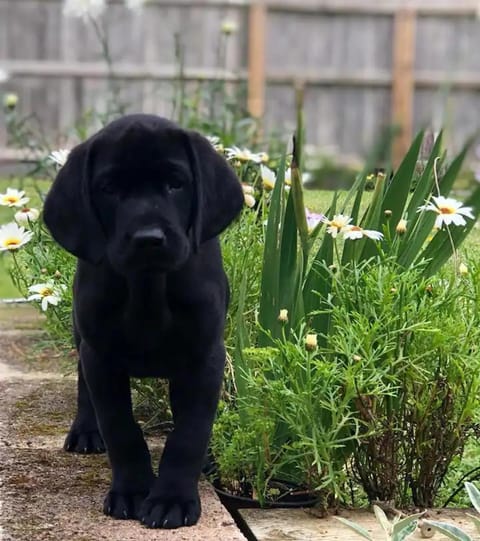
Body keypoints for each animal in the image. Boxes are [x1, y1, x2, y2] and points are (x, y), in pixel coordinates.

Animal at [43, 115, 244, 528]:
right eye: (109, 189)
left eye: (176, 183)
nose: (148, 238)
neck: (147, 288)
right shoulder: (101, 356)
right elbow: (120, 429)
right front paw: (133, 491)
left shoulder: (204, 358)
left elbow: (188, 433)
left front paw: (171, 499)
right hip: (81, 335)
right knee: (84, 385)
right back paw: (85, 431)